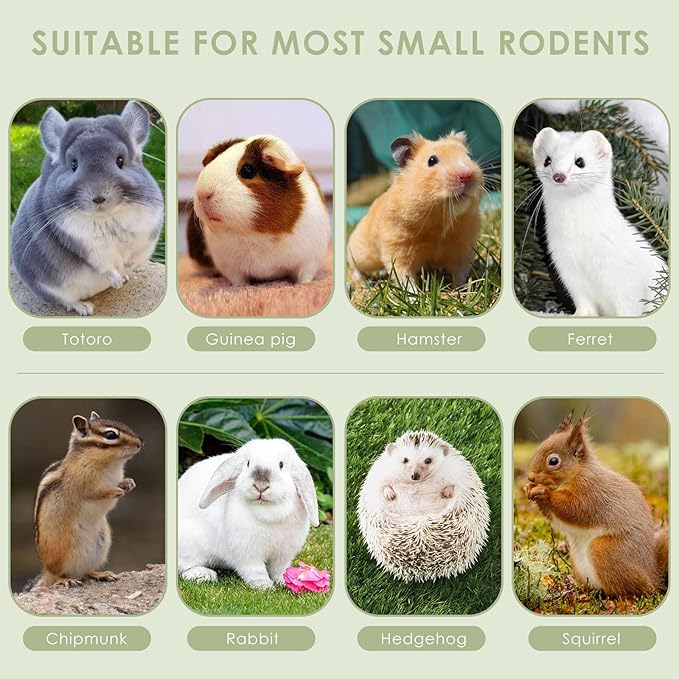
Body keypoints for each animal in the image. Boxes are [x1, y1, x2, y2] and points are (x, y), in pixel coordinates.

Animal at [11, 100, 164, 316]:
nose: (99, 197)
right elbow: (106, 264)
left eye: (120, 161)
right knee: (68, 301)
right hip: (51, 288)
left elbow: (134, 255)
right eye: (74, 165)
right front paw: (116, 281)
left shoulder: (146, 231)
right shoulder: (86, 244)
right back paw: (86, 307)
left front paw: (126, 270)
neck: (107, 217)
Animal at [178, 438, 320, 589]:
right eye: (248, 464)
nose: (260, 486)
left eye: (281, 465)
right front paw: (264, 586)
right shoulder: (247, 553)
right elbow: (255, 571)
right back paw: (203, 574)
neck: (267, 511)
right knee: (184, 567)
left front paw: (284, 581)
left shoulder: (283, 554)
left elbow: (279, 570)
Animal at [186, 135, 330, 285]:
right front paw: (240, 287)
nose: (203, 194)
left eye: (247, 171)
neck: (254, 235)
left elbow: (305, 276)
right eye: (214, 161)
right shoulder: (229, 267)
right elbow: (238, 280)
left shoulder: (310, 260)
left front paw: (303, 284)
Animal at [347, 131, 483, 289]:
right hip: (361, 254)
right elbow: (405, 277)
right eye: (432, 160)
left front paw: (461, 289)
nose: (466, 175)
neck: (440, 219)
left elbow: (460, 273)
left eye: (470, 156)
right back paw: (363, 282)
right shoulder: (398, 249)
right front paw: (414, 293)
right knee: (354, 267)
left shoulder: (462, 248)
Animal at [533, 127, 667, 316]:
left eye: (580, 161)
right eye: (547, 160)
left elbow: (629, 303)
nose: (559, 176)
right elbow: (582, 299)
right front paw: (582, 314)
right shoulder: (566, 265)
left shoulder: (624, 272)